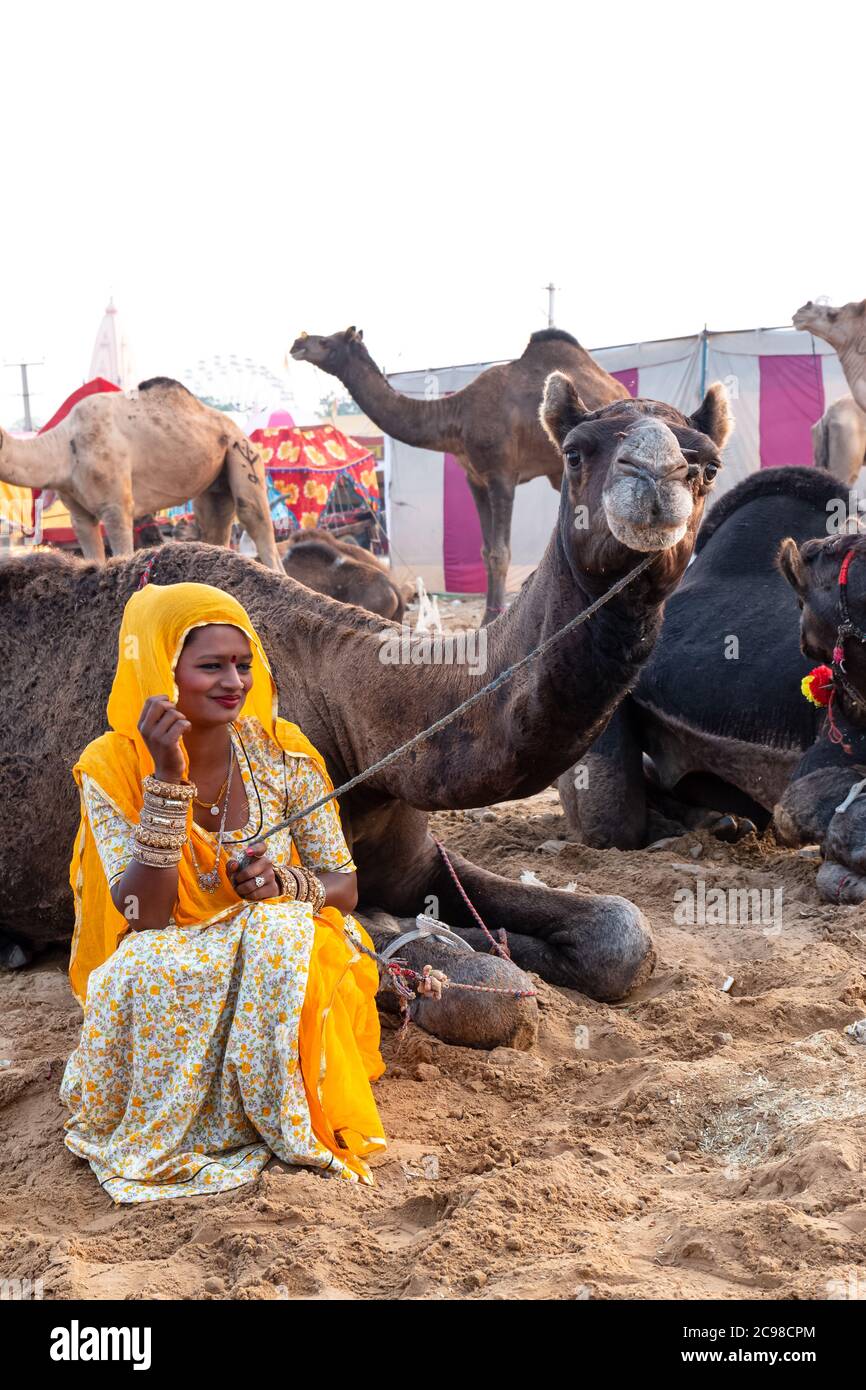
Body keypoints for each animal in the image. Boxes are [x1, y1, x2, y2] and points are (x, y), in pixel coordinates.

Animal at [0, 375, 279, 569]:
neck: (65, 448)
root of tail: (238, 430)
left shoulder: (116, 506)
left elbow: (122, 553)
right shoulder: (79, 515)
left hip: (243, 454)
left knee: (255, 520)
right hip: (215, 482)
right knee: (215, 524)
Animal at [293, 322, 631, 622]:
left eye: (326, 341)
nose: (298, 343)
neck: (457, 418)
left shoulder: (501, 474)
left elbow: (500, 553)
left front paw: (492, 618)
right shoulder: (475, 478)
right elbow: (486, 551)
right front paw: (493, 613)